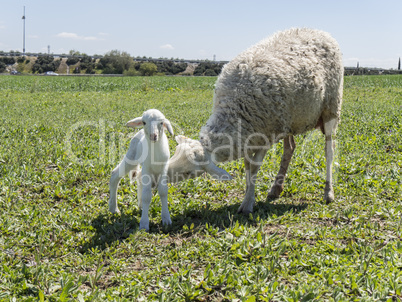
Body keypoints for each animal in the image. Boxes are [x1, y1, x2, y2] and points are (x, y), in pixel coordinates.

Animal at [168, 27, 344, 214]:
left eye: (189, 172)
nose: (162, 177)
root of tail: (319, 31)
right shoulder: (247, 137)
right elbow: (247, 166)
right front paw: (248, 192)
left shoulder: (265, 135)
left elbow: (254, 167)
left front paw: (247, 203)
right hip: (289, 119)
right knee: (290, 148)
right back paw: (276, 189)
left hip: (331, 108)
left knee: (329, 150)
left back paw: (328, 192)